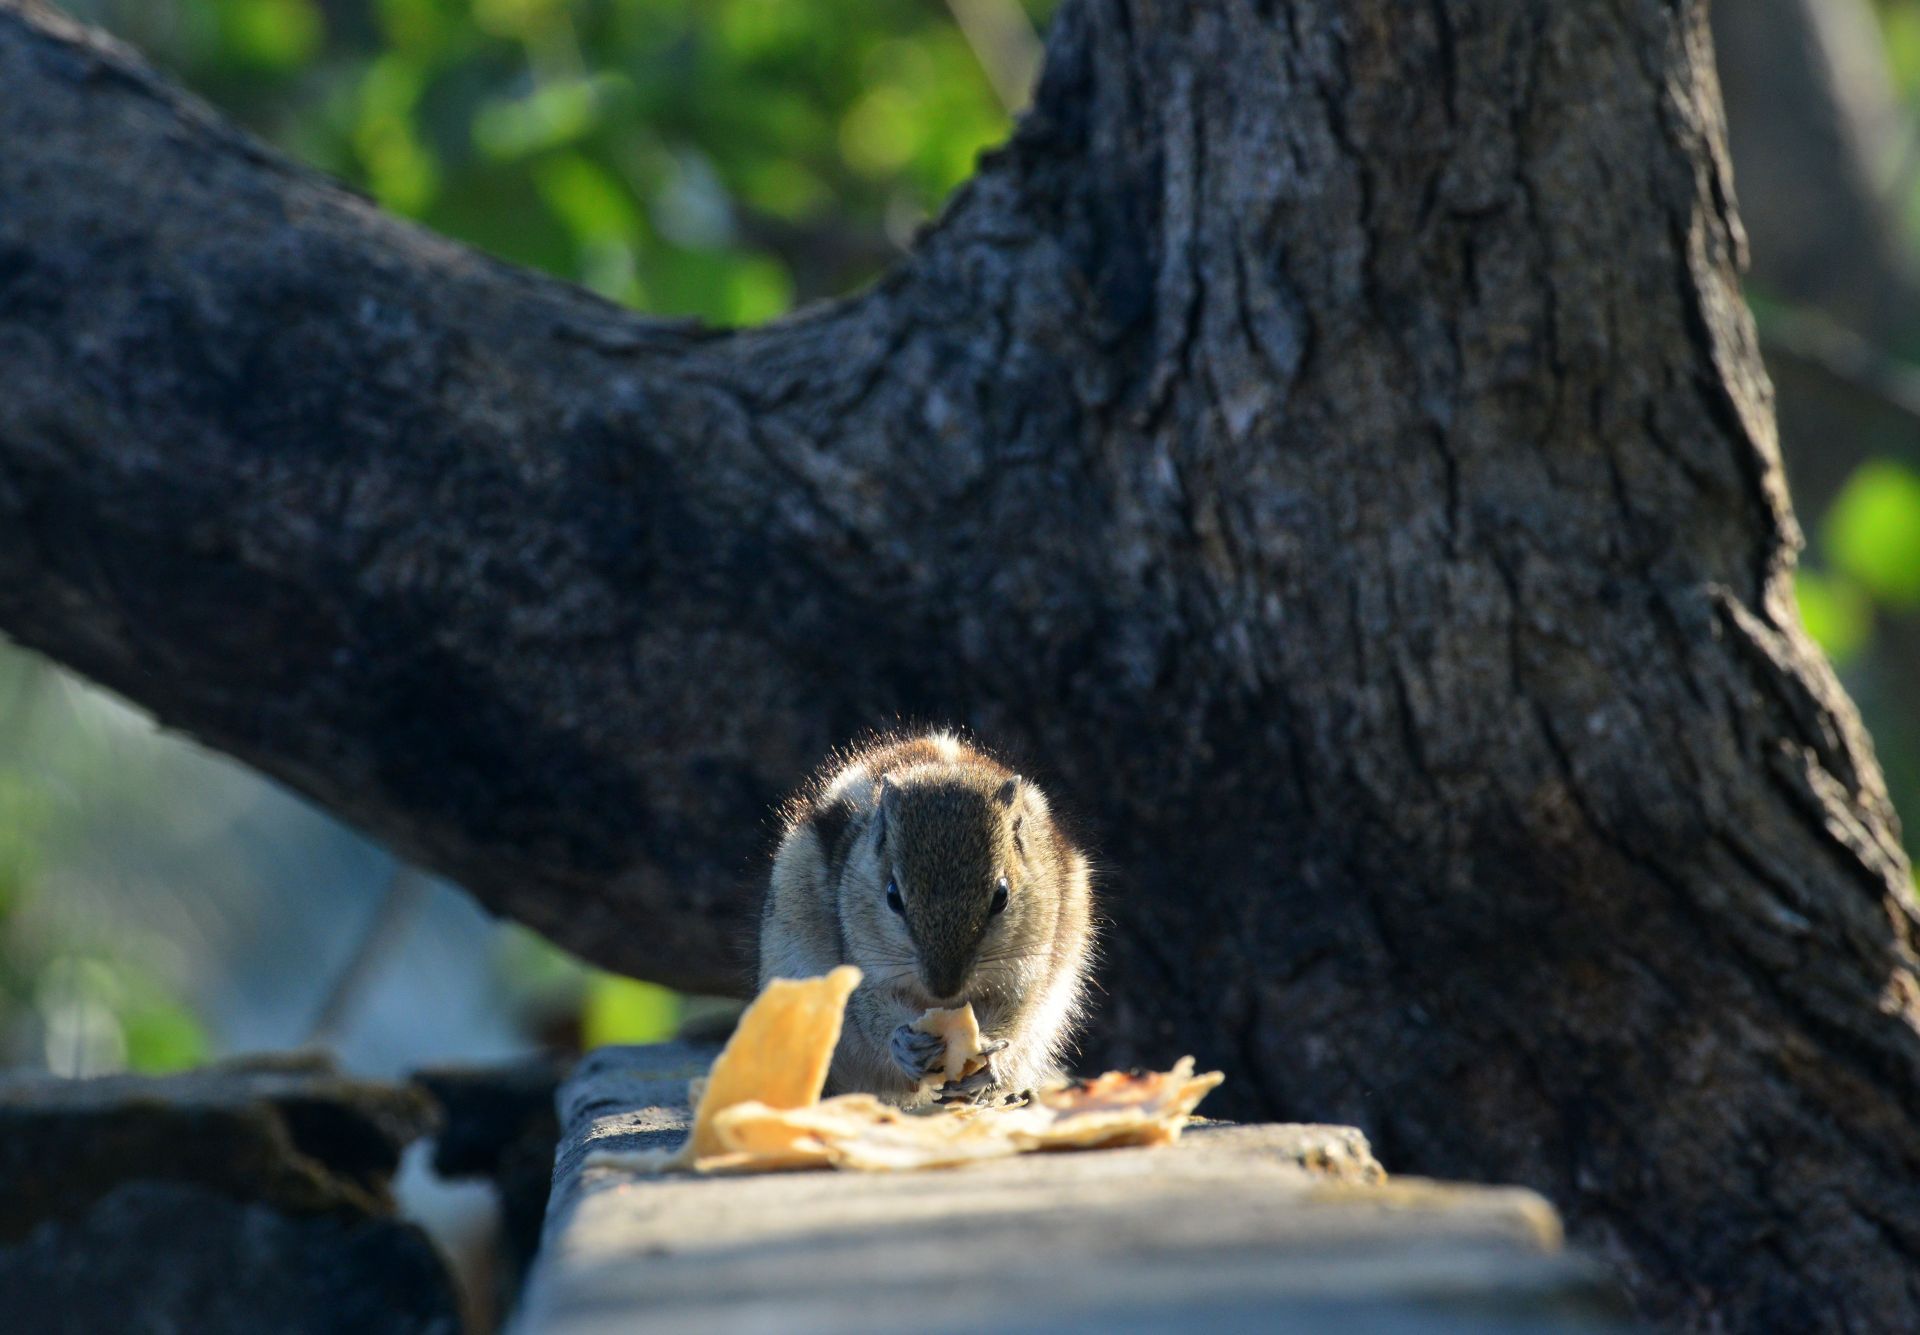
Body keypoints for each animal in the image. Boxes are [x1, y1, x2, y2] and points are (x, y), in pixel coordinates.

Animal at [760, 729, 1098, 1106]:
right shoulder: (865, 968)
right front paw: (902, 1044)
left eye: (1001, 896)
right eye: (893, 896)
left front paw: (989, 1059)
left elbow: (1016, 1016)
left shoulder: (1027, 974)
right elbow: (871, 1015)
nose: (944, 988)